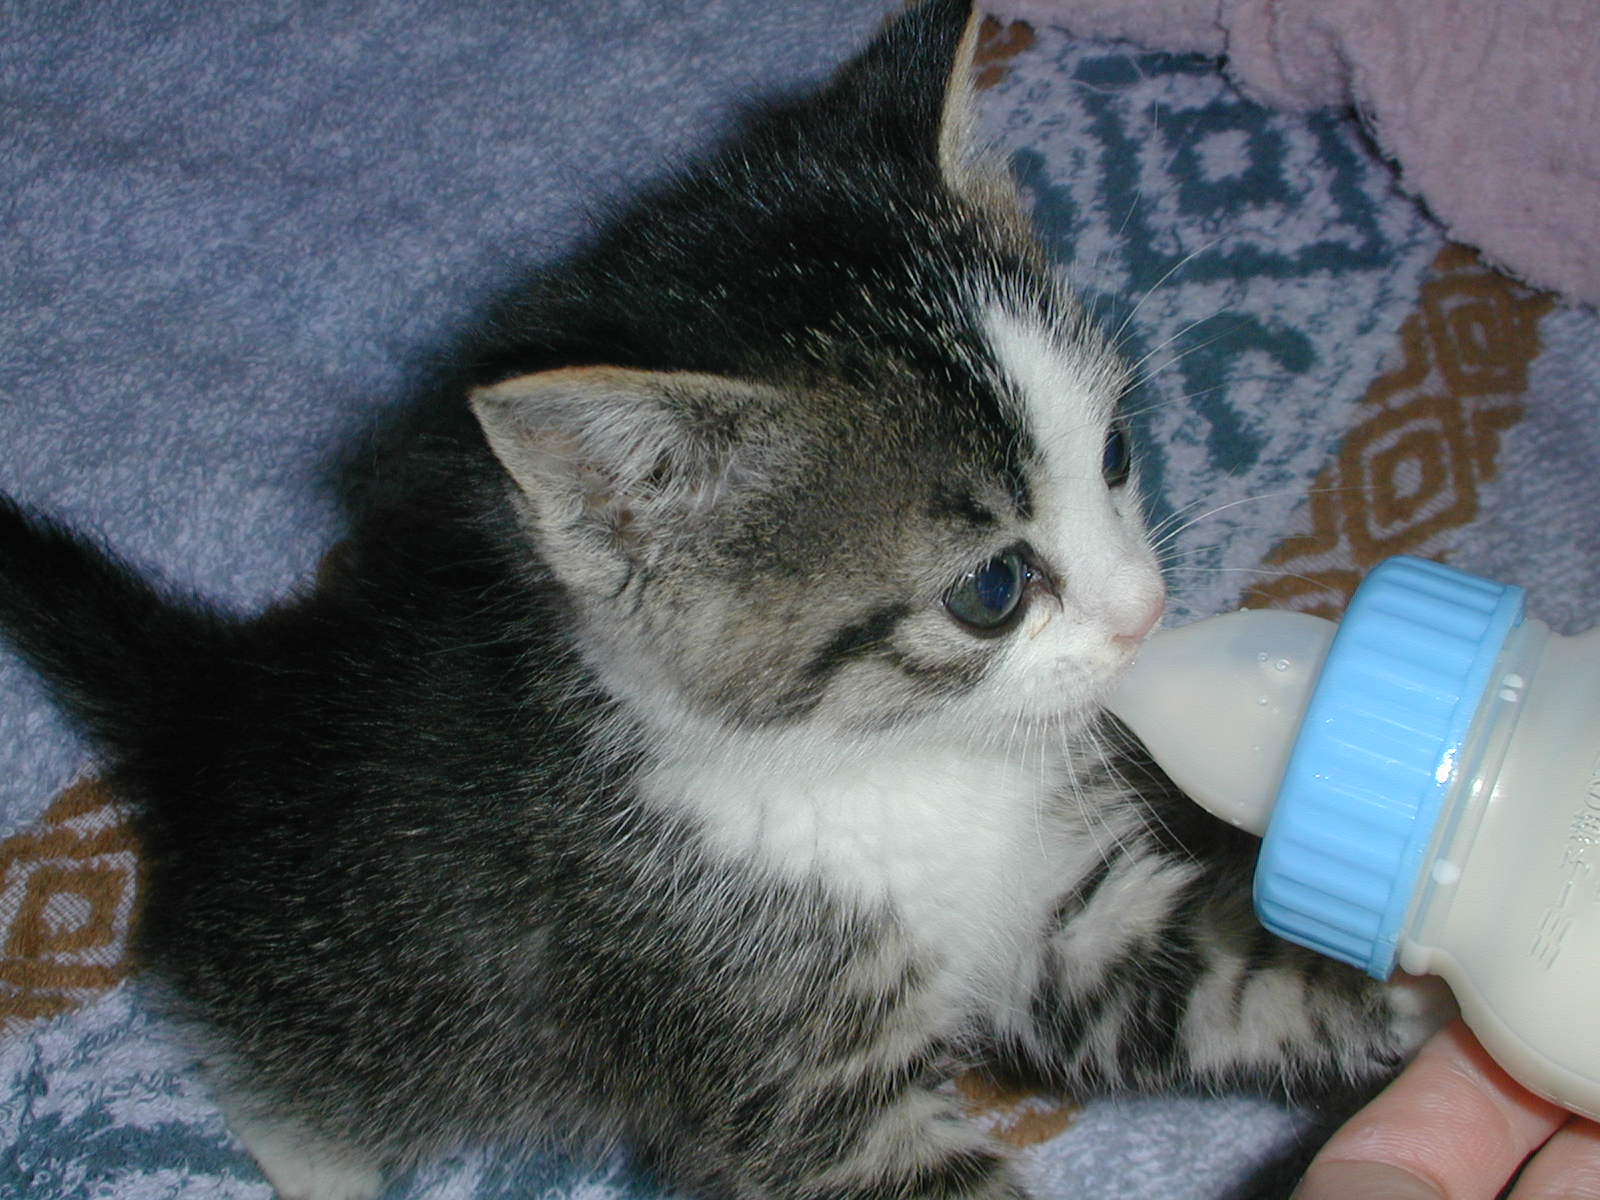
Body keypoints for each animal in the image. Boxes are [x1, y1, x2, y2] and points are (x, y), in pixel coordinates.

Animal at [0, 3, 1440, 1198]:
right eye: (992, 590)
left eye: (1119, 456)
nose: (1148, 612)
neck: (892, 769)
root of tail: (223, 695)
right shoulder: (787, 1077)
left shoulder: (1065, 938)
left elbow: (1233, 976)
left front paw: (1438, 993)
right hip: (343, 1004)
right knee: (286, 1080)